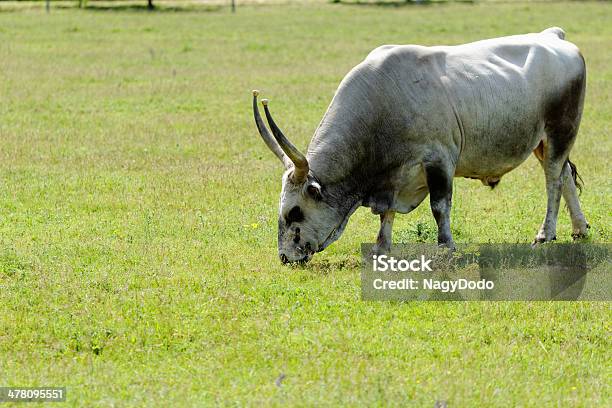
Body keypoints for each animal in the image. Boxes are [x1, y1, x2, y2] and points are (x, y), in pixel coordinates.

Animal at [252, 28, 588, 264]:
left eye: (295, 212)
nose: (285, 257)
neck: (383, 103)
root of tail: (552, 36)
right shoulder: (392, 178)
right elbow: (386, 213)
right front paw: (381, 247)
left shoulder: (438, 161)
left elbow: (439, 207)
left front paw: (445, 247)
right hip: (542, 143)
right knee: (565, 177)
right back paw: (579, 229)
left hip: (560, 132)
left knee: (553, 181)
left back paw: (546, 234)